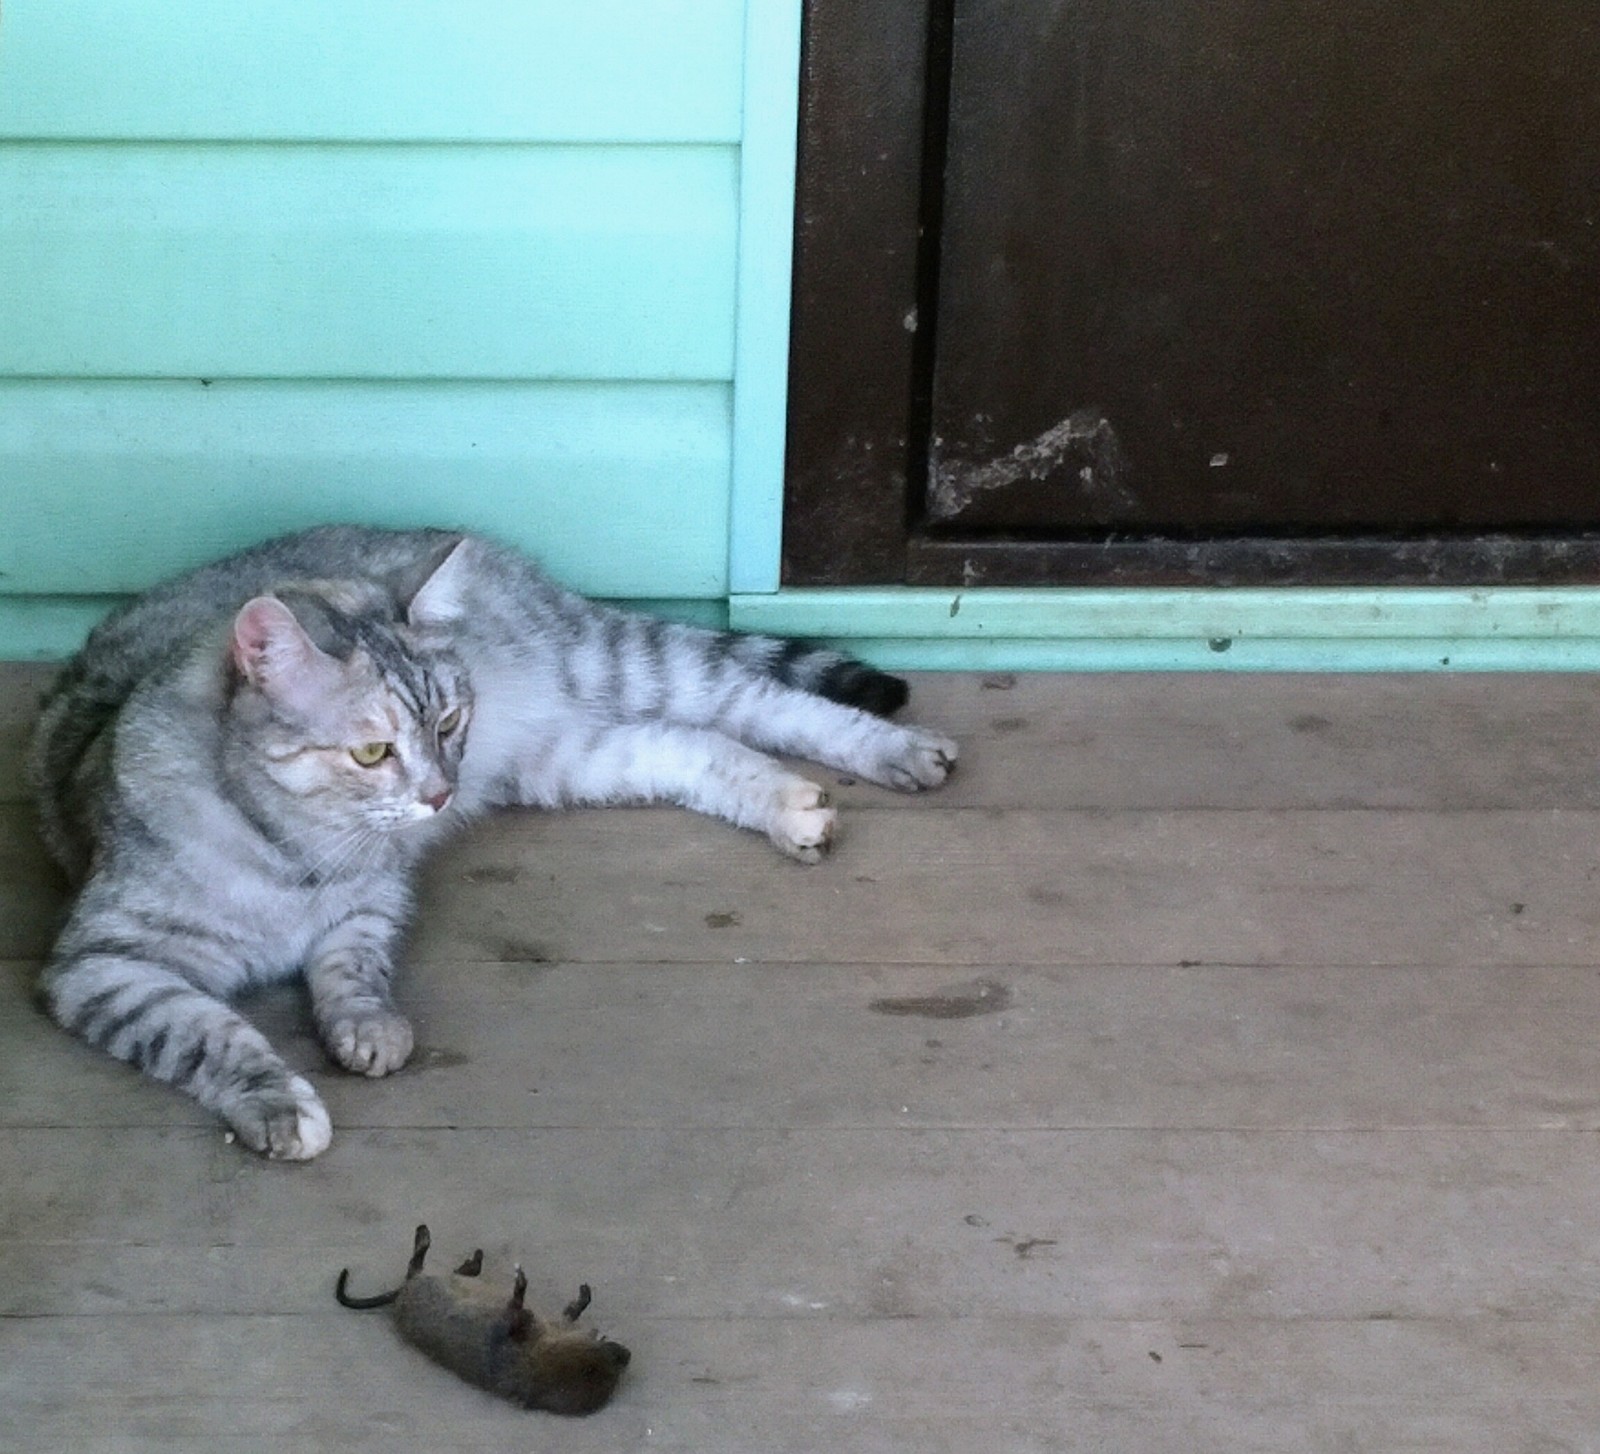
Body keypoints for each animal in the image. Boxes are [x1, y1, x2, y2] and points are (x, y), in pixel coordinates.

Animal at [31, 521, 953, 1158]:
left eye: (447, 721)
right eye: (374, 752)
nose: (443, 793)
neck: (299, 851)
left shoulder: (371, 903)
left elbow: (354, 968)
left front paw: (367, 1024)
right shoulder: (104, 965)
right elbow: (207, 1033)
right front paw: (280, 1097)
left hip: (621, 667)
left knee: (768, 703)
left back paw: (897, 750)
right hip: (573, 752)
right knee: (693, 745)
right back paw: (787, 802)